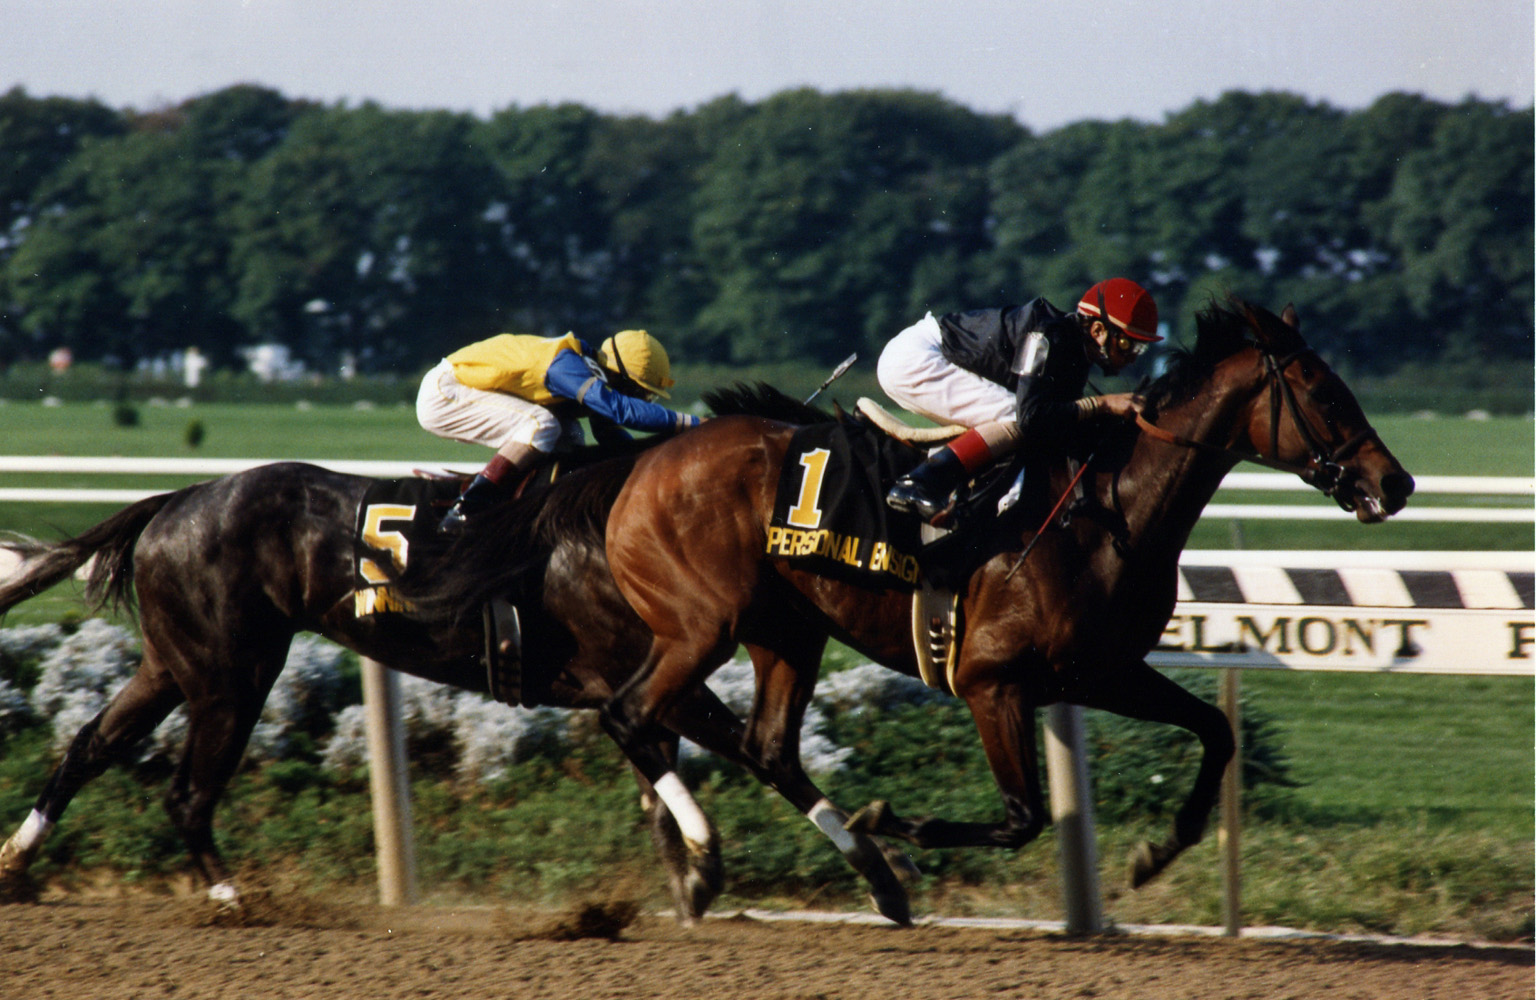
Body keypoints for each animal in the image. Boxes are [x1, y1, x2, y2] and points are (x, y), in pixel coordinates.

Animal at [0, 445, 909, 921]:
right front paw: (718, 864)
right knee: (187, 790)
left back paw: (17, 862)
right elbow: (735, 751)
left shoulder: (649, 677)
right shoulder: (643, 673)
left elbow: (709, 764)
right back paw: (231, 895)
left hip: (172, 663)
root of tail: (176, 499)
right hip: (232, 674)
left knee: (87, 746)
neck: (644, 520)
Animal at [586, 294, 1413, 884]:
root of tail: (649, 457)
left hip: (784, 629)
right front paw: (898, 822)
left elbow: (1216, 729)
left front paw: (1159, 851)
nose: (1395, 483)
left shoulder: (1100, 672)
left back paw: (869, 875)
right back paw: (706, 858)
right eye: (1326, 395)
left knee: (762, 746)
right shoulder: (993, 683)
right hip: (703, 624)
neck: (1105, 512)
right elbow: (1022, 817)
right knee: (630, 713)